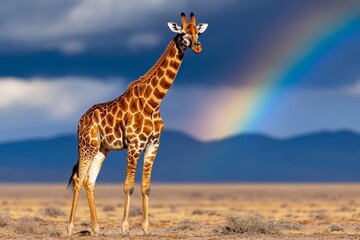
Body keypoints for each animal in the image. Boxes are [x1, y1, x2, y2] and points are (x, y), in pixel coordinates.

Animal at [67, 12, 208, 235]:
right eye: (183, 32)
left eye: (198, 32)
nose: (197, 46)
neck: (154, 102)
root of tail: (81, 119)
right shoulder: (134, 144)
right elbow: (129, 185)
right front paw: (125, 227)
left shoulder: (153, 145)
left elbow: (146, 186)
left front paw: (145, 227)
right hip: (86, 145)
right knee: (79, 178)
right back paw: (70, 227)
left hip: (102, 148)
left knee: (90, 180)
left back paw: (96, 228)